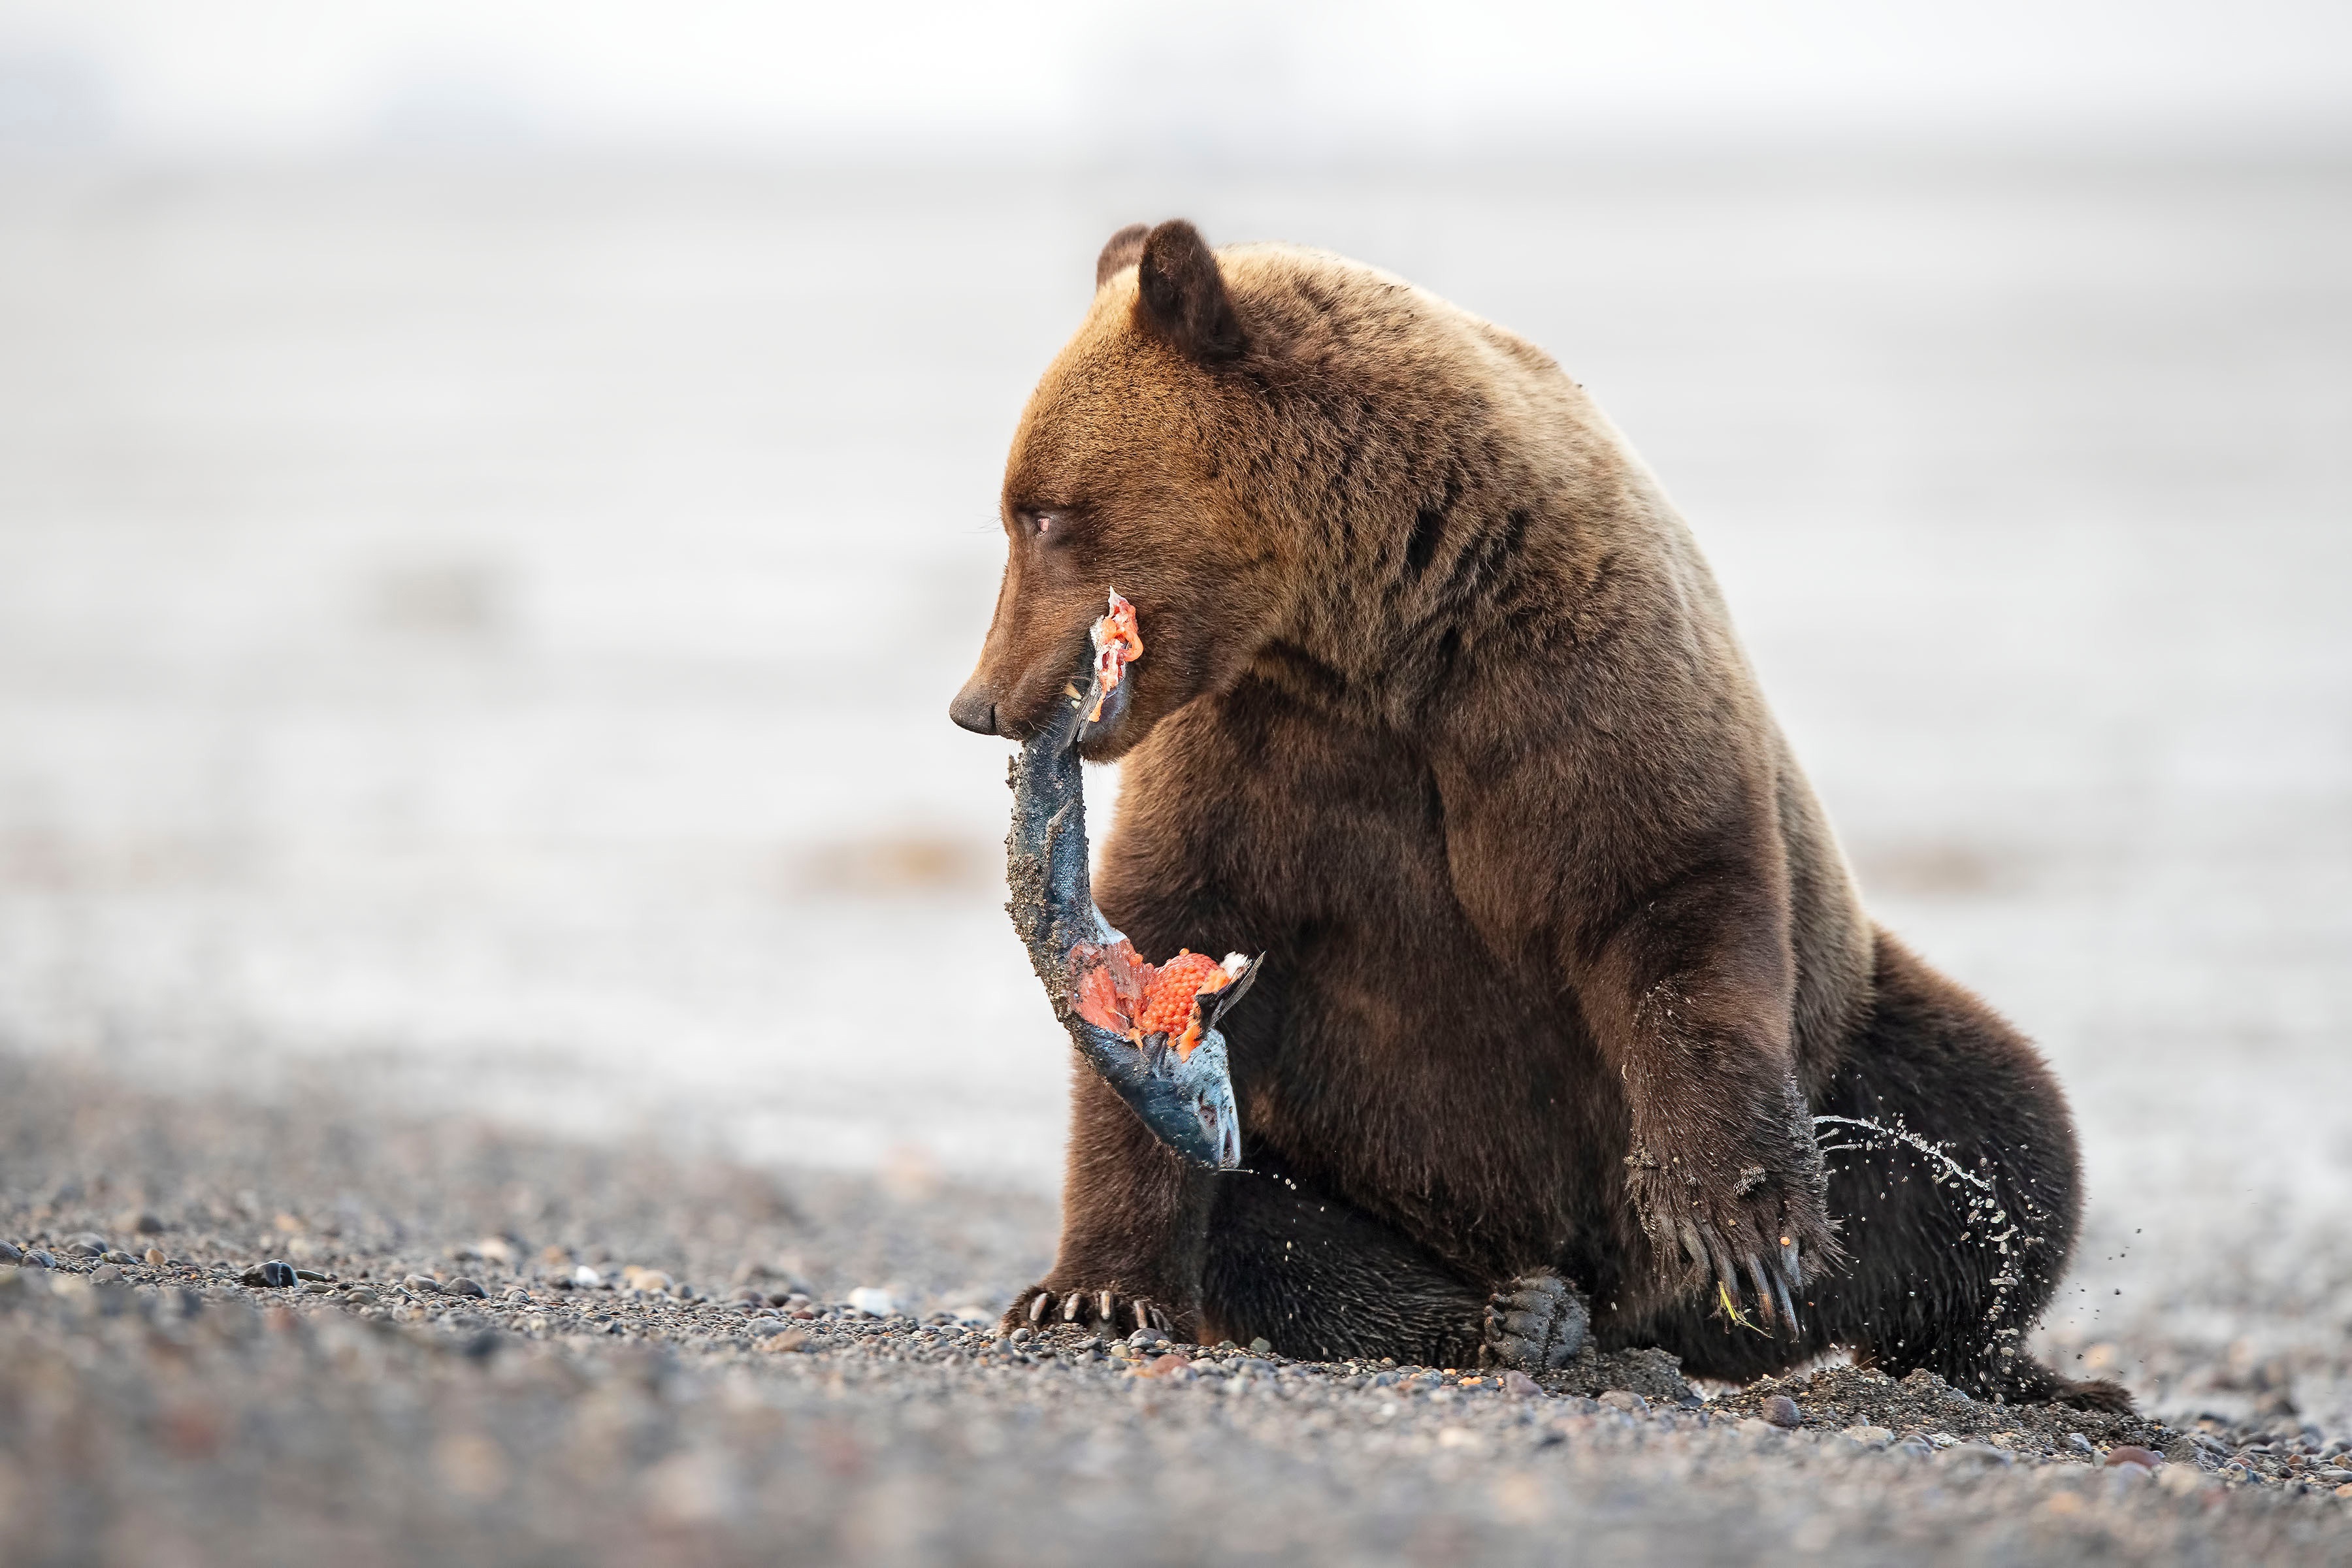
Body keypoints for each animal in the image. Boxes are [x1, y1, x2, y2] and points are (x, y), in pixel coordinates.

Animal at [945, 221, 2126, 1410]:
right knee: (1269, 1232)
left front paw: (1739, 1223)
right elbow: (1165, 945)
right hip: (1333, 1156)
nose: (980, 703)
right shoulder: (1258, 761)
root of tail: (1649, 1322)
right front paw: (1091, 1295)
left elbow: (1670, 908)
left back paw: (2017, 1366)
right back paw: (1516, 1320)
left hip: (1855, 1037)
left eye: (1041, 513)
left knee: (1994, 1133)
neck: (1374, 635)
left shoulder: (1573, 692)